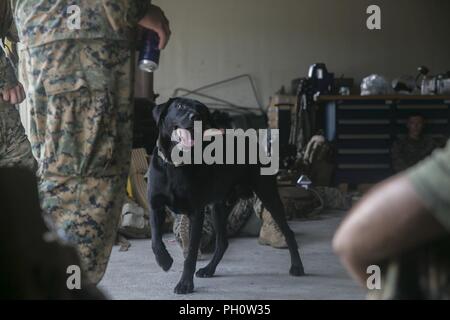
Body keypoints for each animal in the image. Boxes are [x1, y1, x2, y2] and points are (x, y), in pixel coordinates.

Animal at [146, 98, 304, 296]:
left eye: (201, 110)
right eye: (179, 106)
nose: (195, 116)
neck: (175, 163)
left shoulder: (196, 214)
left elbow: (191, 254)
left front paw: (185, 284)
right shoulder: (155, 206)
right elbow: (155, 239)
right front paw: (164, 261)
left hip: (268, 195)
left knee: (288, 232)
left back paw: (297, 266)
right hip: (218, 207)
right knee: (222, 243)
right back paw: (209, 269)